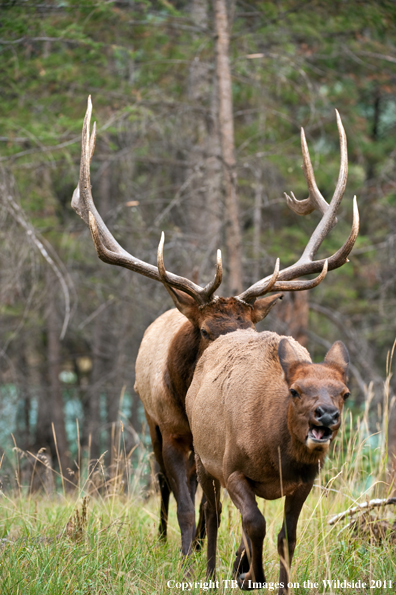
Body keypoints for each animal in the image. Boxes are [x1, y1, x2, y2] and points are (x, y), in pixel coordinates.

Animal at [71, 98, 358, 560]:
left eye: (250, 327)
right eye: (206, 331)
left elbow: (221, 507)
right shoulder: (171, 430)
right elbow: (186, 503)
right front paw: (186, 553)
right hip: (151, 422)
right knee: (165, 483)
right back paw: (166, 536)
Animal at [186, 330, 350, 592]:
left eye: (345, 393)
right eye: (295, 390)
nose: (326, 414)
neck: (277, 459)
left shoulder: (304, 483)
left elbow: (286, 537)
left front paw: (276, 585)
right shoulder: (233, 471)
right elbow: (256, 523)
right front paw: (252, 578)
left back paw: (237, 564)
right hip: (204, 461)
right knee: (213, 512)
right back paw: (211, 578)